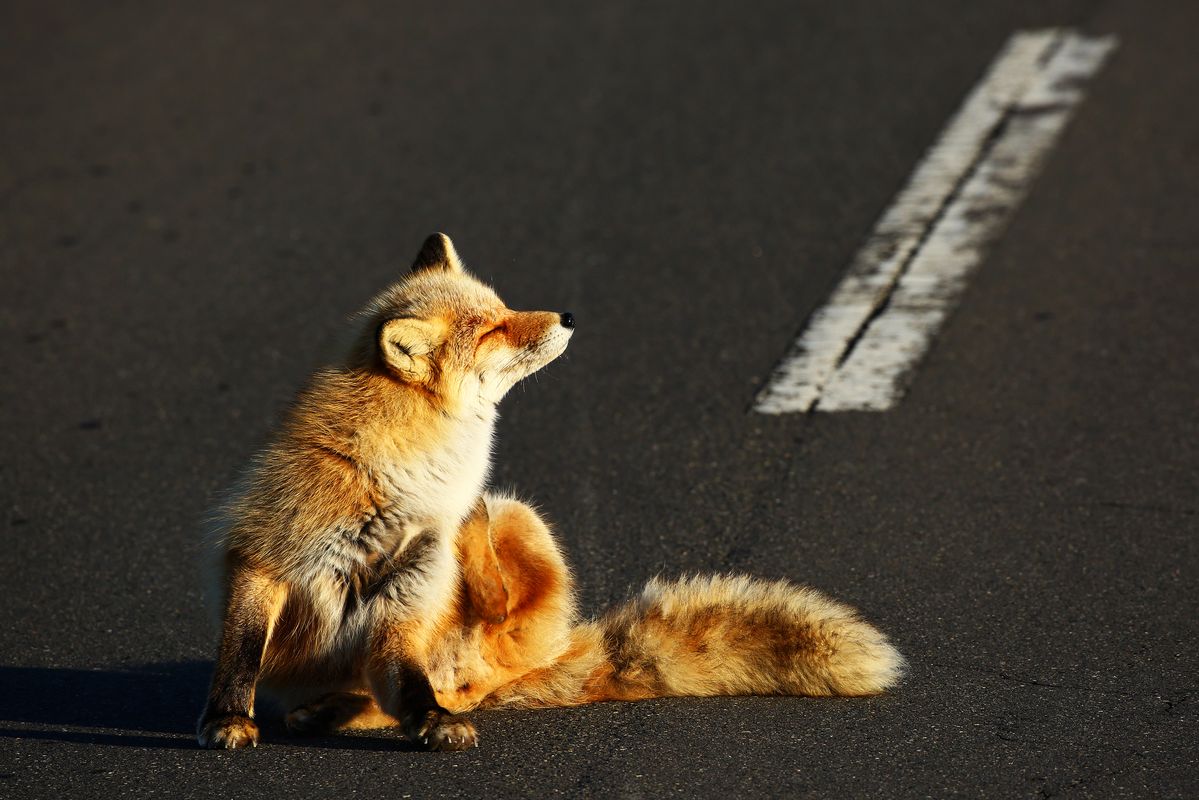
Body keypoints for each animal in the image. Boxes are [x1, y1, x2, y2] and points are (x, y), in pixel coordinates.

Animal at [196, 232, 901, 753]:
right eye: (489, 332)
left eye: (506, 309)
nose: (568, 315)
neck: (406, 483)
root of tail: (552, 653)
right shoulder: (262, 553)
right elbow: (240, 653)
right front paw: (227, 719)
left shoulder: (411, 587)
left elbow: (415, 687)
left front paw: (433, 720)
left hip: (516, 519)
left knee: (473, 664)